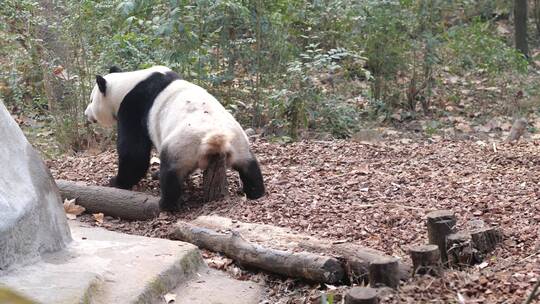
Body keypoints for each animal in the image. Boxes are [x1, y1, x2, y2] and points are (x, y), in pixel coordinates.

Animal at [84, 65, 266, 210]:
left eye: (92, 100)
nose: (86, 114)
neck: (127, 83)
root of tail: (215, 140)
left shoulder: (133, 106)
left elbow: (134, 152)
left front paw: (116, 181)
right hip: (238, 141)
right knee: (250, 167)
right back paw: (256, 192)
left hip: (181, 145)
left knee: (171, 173)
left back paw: (166, 203)